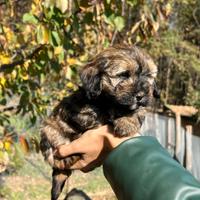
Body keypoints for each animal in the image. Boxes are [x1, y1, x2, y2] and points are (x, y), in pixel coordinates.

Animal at [39, 44, 158, 199]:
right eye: (123, 75)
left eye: (148, 76)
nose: (141, 95)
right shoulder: (78, 109)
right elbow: (98, 111)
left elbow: (138, 110)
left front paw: (127, 121)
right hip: (48, 131)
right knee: (54, 156)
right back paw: (69, 156)